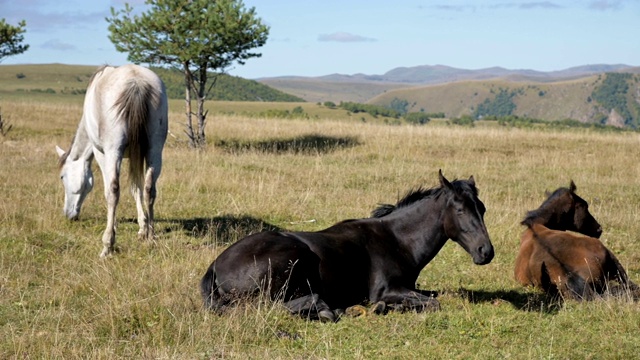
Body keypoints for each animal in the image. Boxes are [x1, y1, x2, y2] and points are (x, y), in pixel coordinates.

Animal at [56, 64, 169, 256]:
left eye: (62, 177)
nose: (68, 215)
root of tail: (136, 82)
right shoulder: (135, 156)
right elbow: (137, 189)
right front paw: (143, 228)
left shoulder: (101, 153)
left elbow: (111, 191)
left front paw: (114, 226)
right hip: (154, 150)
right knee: (150, 190)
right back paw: (151, 236)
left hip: (112, 152)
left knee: (114, 190)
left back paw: (107, 245)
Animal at [200, 170, 496, 322]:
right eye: (460, 210)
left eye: (482, 208)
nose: (486, 252)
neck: (397, 241)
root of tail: (214, 267)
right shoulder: (386, 290)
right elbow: (433, 303)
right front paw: (385, 308)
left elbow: (432, 296)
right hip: (293, 258)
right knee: (269, 307)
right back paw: (328, 309)